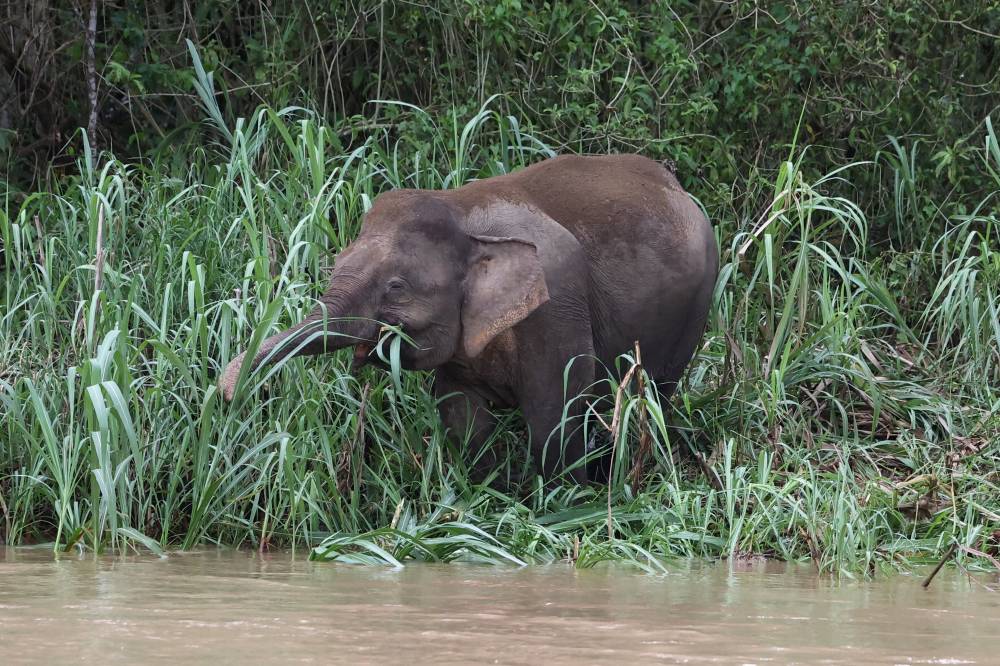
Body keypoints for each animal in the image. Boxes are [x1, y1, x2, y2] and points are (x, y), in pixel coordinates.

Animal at [219, 154, 718, 484]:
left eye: (396, 286)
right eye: (336, 262)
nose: (227, 392)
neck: (462, 212)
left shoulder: (557, 304)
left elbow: (554, 410)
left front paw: (561, 502)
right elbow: (458, 410)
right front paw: (491, 491)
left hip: (696, 304)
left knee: (655, 391)